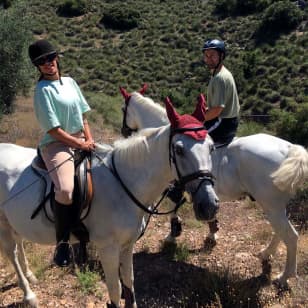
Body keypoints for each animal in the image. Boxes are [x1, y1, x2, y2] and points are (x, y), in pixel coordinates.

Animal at [0, 99, 219, 308]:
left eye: (211, 147)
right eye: (179, 150)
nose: (209, 205)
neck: (123, 183)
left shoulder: (127, 245)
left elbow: (129, 283)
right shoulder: (108, 249)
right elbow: (115, 290)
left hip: (14, 221)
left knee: (19, 241)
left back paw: (30, 275)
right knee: (11, 252)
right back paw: (29, 295)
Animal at [118, 86, 308, 286]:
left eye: (123, 109)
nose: (124, 131)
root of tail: (290, 149)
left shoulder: (175, 187)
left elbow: (173, 209)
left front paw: (173, 234)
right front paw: (212, 231)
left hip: (272, 206)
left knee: (291, 236)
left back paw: (285, 276)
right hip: (275, 207)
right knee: (280, 232)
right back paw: (266, 253)